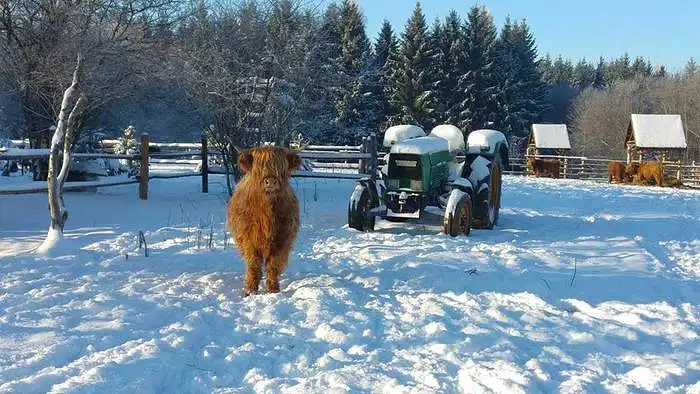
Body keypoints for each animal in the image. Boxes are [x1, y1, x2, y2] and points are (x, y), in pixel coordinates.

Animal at [226, 145, 300, 296]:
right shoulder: (248, 239)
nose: (270, 181)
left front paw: (273, 289)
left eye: (281, 167)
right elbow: (253, 264)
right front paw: (250, 290)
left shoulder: (283, 239)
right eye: (259, 167)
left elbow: (274, 265)